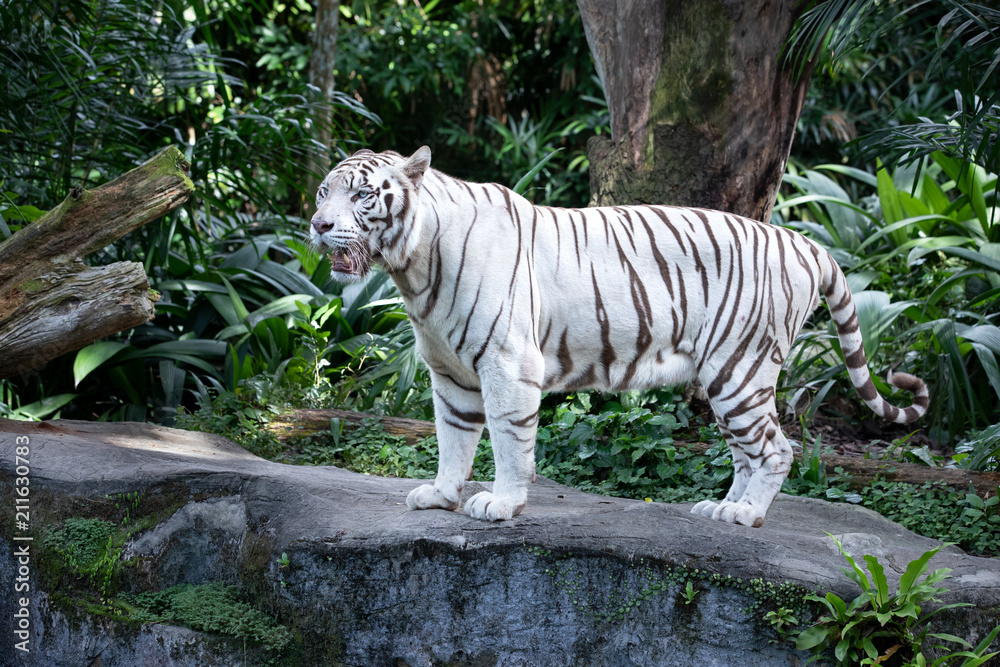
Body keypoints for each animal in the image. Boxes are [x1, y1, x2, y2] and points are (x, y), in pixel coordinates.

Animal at [308, 145, 924, 528]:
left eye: (362, 195)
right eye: (322, 193)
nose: (317, 225)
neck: (412, 267)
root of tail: (804, 242)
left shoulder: (507, 364)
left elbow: (508, 441)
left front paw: (502, 504)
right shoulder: (451, 373)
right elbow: (452, 438)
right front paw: (439, 496)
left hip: (739, 369)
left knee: (776, 449)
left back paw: (747, 515)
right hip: (728, 381)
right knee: (747, 452)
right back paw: (720, 510)